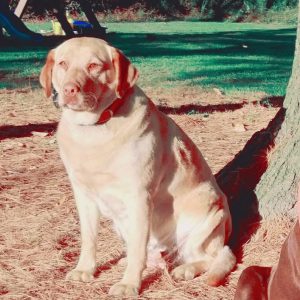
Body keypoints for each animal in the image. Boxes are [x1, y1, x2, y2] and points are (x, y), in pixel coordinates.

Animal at [39, 37, 236, 296]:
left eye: (94, 66)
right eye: (63, 63)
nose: (69, 89)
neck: (94, 130)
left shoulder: (139, 197)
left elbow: (136, 251)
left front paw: (129, 284)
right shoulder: (83, 195)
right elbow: (89, 239)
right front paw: (85, 269)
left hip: (209, 214)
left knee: (212, 257)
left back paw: (186, 269)